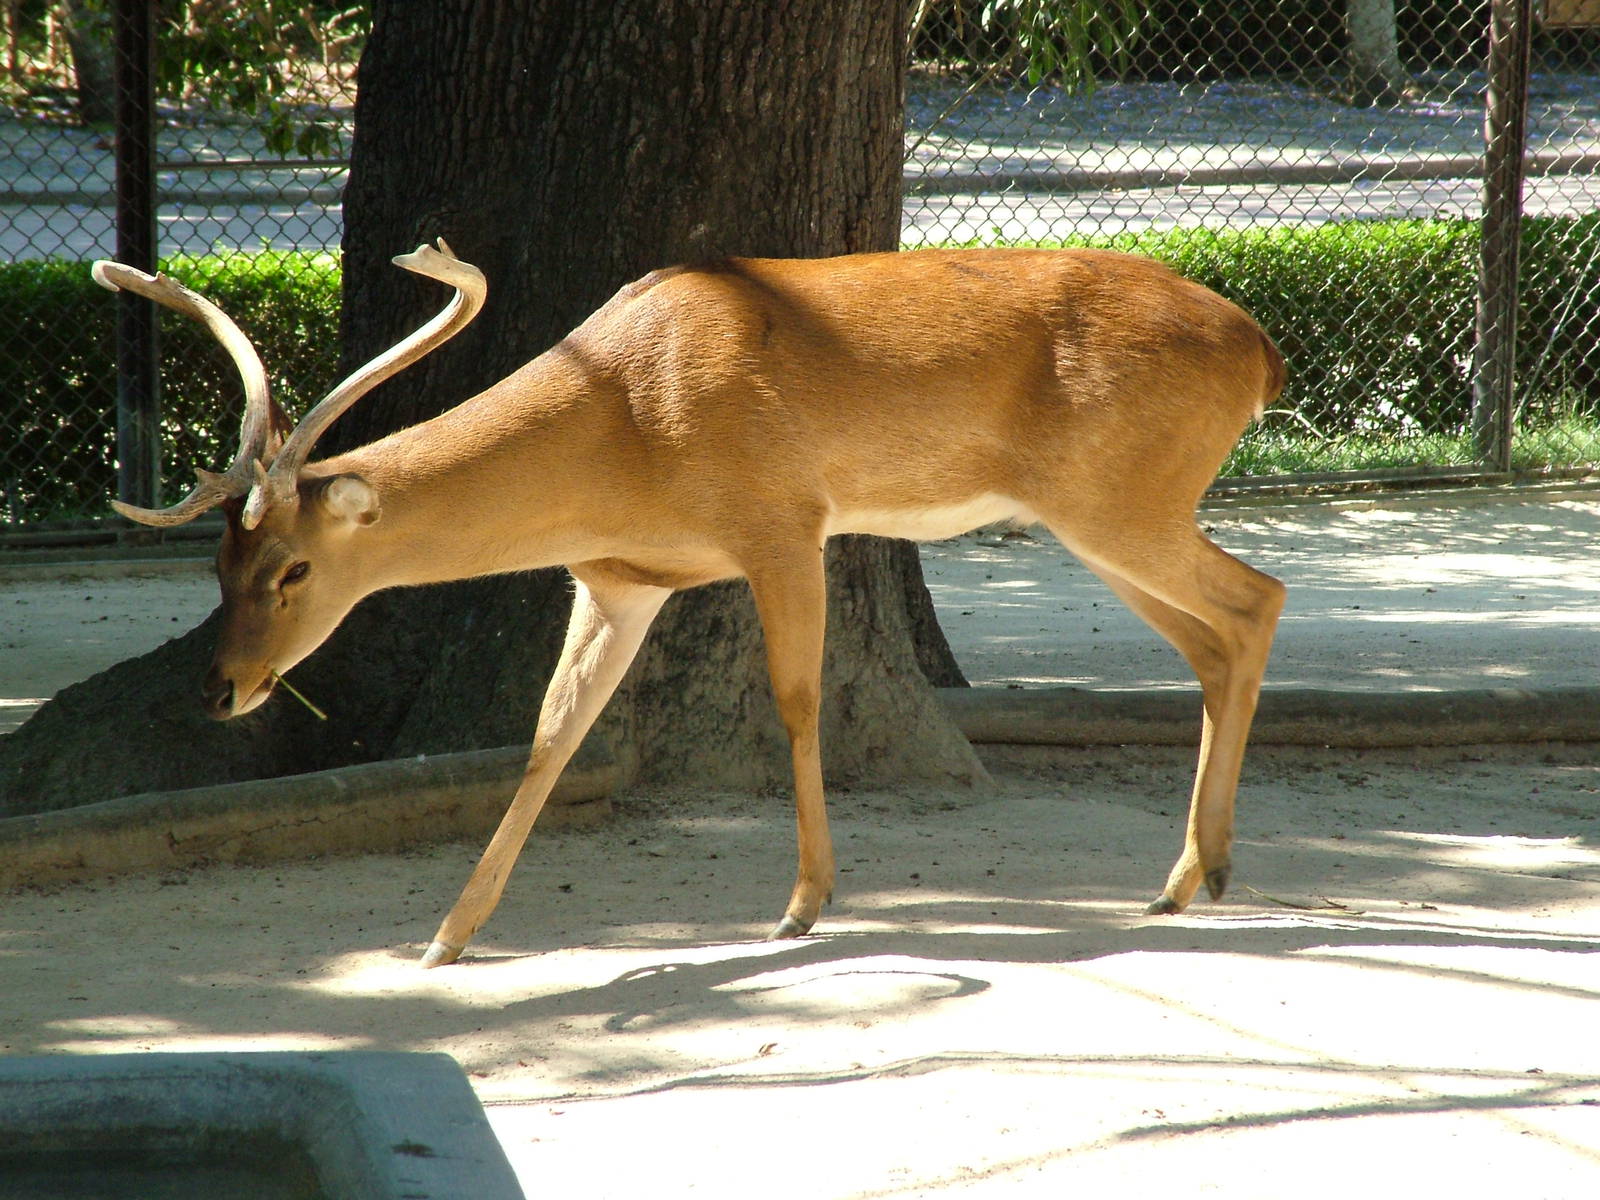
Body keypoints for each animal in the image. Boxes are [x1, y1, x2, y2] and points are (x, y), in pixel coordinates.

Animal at [93, 239, 1286, 967]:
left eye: (291, 570)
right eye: (216, 564)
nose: (221, 688)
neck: (625, 429)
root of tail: (1264, 351)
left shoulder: (783, 519)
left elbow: (797, 700)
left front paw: (802, 903)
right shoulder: (617, 578)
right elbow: (553, 734)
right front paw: (446, 934)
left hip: (1121, 497)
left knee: (1255, 599)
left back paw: (1200, 872)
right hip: (1104, 512)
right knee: (1214, 638)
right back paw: (1188, 877)